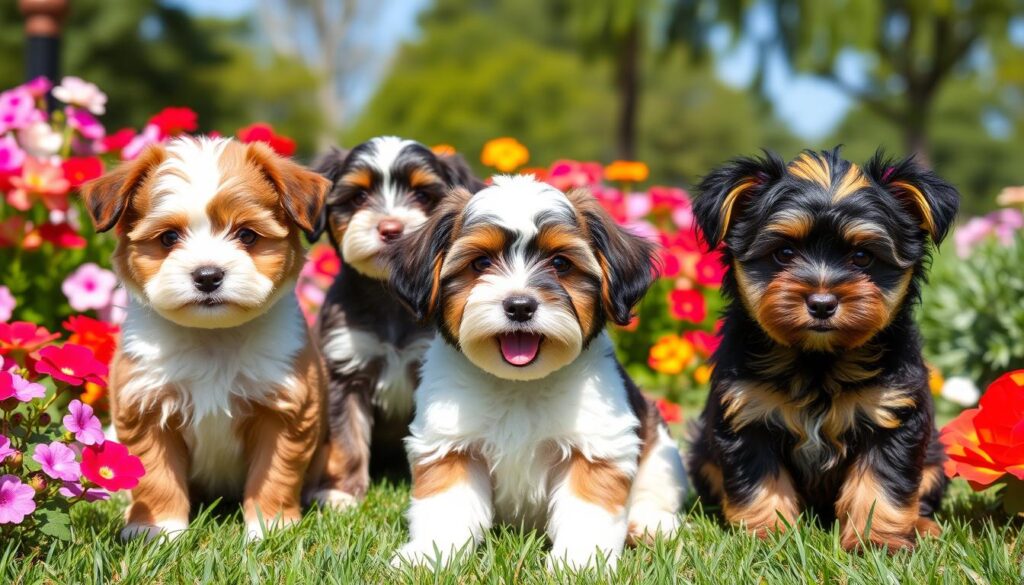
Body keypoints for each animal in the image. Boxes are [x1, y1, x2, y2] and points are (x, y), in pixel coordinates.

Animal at [84, 136, 331, 540]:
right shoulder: (144, 406)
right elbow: (156, 477)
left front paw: (270, 528)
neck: (214, 337)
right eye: (169, 237)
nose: (207, 275)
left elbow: (275, 473)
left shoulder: (286, 409)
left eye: (246, 235)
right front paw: (158, 531)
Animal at [303, 136, 483, 508]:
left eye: (423, 196)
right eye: (358, 197)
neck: (389, 298)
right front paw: (343, 492)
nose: (391, 229)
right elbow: (347, 440)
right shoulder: (346, 371)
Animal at [688, 148, 958, 553]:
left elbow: (881, 484)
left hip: (934, 457)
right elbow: (760, 483)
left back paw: (924, 527)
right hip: (702, 454)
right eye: (784, 253)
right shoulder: (747, 413)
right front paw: (770, 537)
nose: (821, 303)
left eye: (862, 257)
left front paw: (876, 543)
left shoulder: (892, 415)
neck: (817, 359)